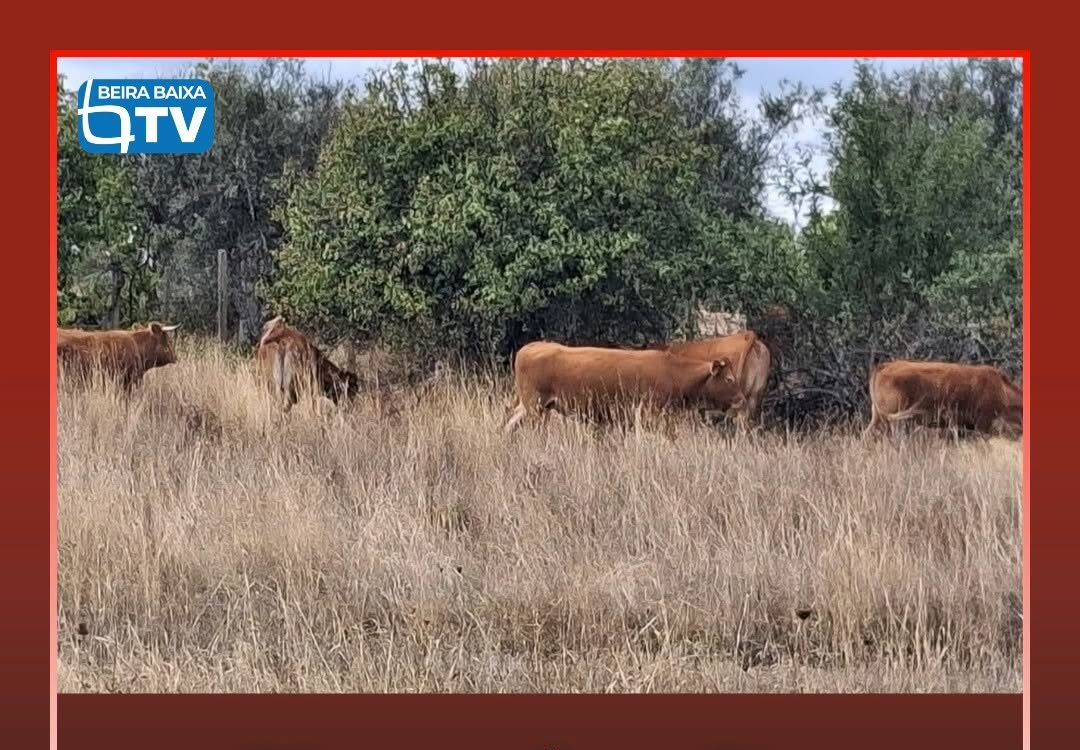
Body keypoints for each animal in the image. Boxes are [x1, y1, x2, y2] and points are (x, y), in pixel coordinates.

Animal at [502, 341, 746, 434]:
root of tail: (530, 346)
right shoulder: (650, 414)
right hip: (535, 407)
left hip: (534, 407)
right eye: (729, 379)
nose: (742, 399)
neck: (672, 371)